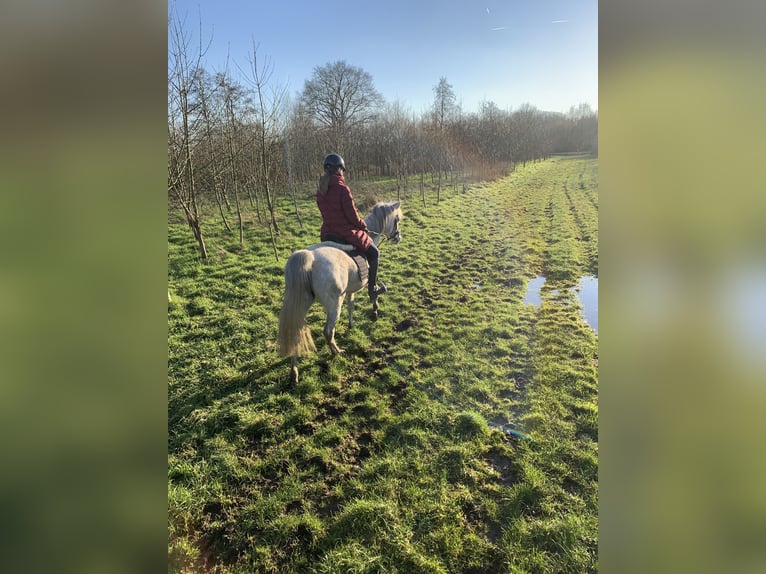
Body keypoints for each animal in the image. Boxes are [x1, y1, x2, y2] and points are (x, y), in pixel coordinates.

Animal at [278, 201, 403, 385]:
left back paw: (294, 374)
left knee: (296, 334)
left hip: (300, 304)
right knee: (328, 331)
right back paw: (336, 352)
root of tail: (308, 256)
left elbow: (351, 306)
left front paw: (351, 325)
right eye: (396, 219)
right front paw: (374, 311)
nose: (398, 237)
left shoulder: (350, 290)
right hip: (334, 304)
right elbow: (374, 292)